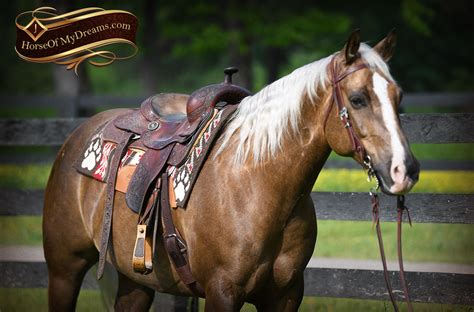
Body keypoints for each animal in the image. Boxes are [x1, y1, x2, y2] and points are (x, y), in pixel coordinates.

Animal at [41, 28, 418, 310]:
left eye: (398, 96)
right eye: (358, 99)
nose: (405, 170)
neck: (258, 184)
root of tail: (77, 135)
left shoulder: (285, 295)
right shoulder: (222, 292)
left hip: (135, 281)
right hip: (64, 270)